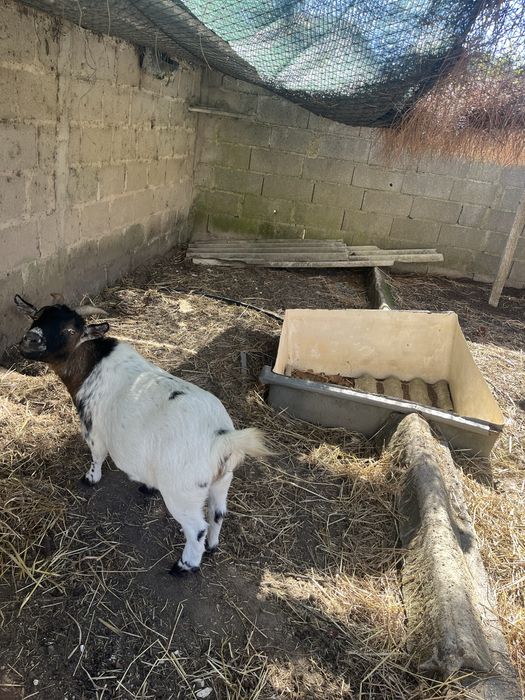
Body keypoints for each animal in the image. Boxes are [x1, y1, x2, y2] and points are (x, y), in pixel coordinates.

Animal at [14, 294, 271, 574]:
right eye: (36, 316)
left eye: (71, 330)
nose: (30, 340)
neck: (91, 364)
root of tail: (221, 439)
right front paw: (147, 487)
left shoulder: (94, 429)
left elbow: (97, 456)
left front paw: (90, 479)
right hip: (222, 481)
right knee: (218, 513)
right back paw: (213, 546)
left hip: (183, 492)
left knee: (196, 529)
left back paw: (184, 566)